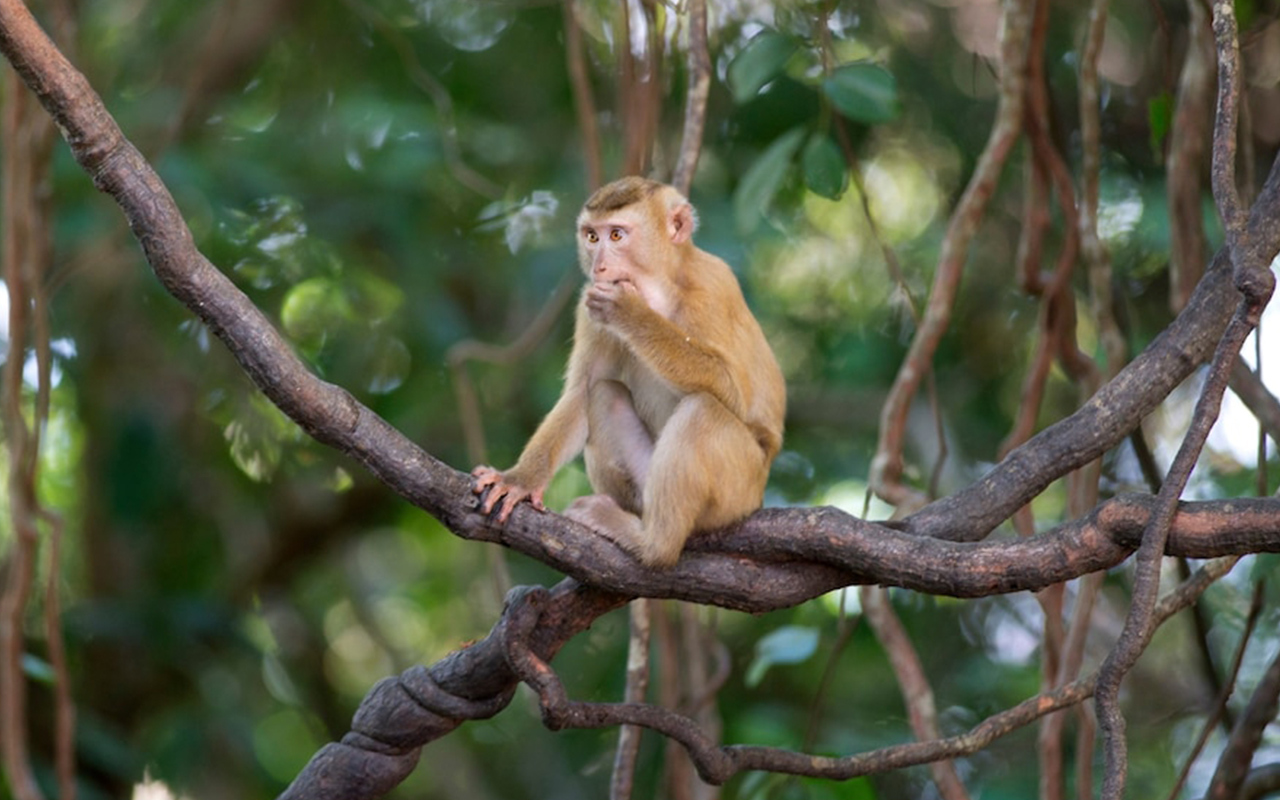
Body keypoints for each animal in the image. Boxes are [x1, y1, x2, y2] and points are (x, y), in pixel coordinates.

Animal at [476, 176, 783, 565]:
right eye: (592, 237)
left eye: (617, 235)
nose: (599, 267)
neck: (661, 291)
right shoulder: (588, 304)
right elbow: (584, 388)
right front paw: (520, 480)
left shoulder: (714, 288)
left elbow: (734, 391)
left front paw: (631, 314)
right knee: (604, 394)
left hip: (739, 490)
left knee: (704, 410)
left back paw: (652, 544)